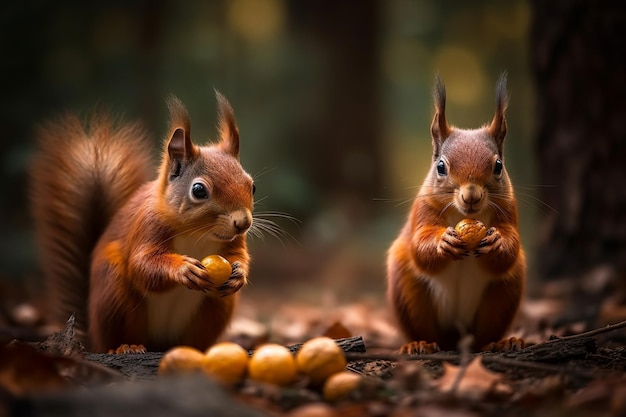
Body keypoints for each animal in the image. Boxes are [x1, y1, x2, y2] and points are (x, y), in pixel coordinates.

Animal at [31, 92, 254, 352]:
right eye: (198, 190)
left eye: (252, 186)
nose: (243, 223)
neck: (197, 233)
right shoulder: (147, 227)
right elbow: (142, 266)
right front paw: (182, 268)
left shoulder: (234, 242)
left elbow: (239, 255)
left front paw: (239, 273)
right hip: (113, 294)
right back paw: (126, 346)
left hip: (215, 308)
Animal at [382, 74, 524, 352]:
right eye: (440, 167)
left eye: (498, 166)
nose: (471, 196)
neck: (463, 215)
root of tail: (457, 335)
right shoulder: (422, 211)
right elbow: (420, 247)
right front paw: (442, 243)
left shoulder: (509, 210)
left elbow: (509, 250)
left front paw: (498, 241)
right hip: (407, 287)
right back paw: (420, 344)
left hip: (506, 291)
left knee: (484, 335)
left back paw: (501, 342)